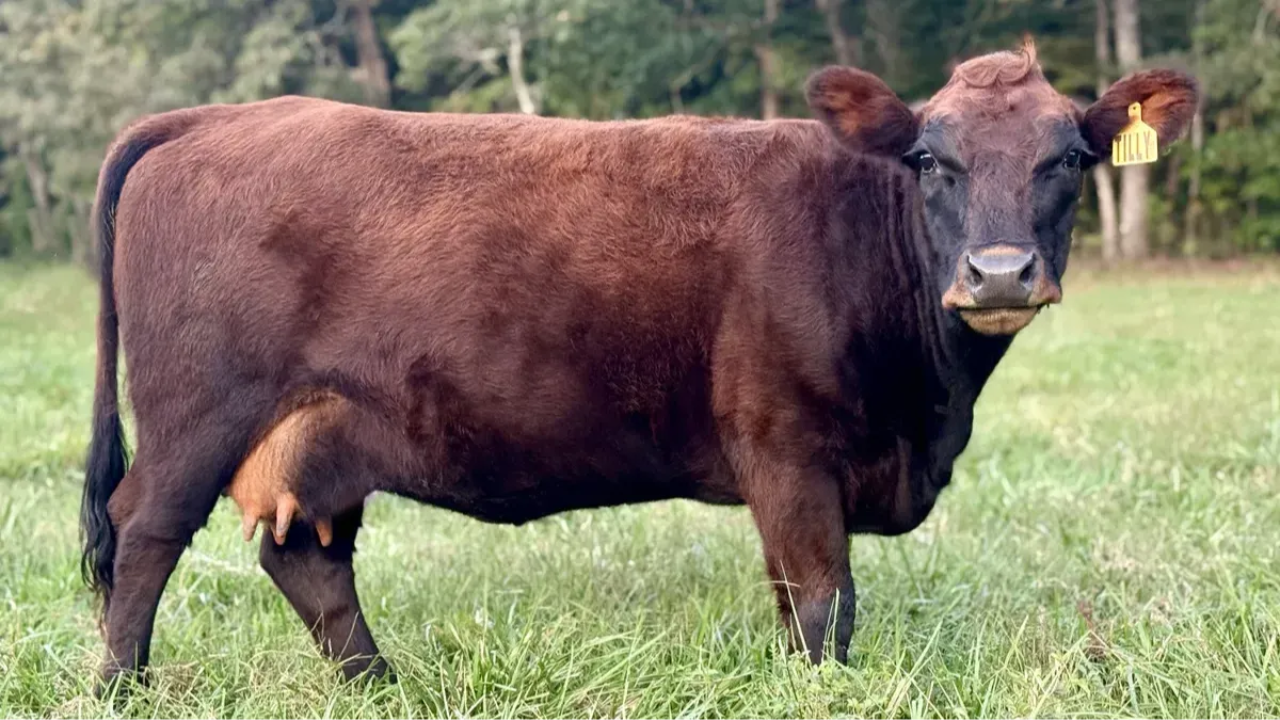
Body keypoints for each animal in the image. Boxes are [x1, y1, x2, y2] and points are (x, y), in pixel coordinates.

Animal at [79, 39, 1196, 692]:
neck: (925, 409)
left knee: (308, 559)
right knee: (144, 537)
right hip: (198, 418)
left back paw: (382, 686)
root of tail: (217, 116)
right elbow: (823, 604)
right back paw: (122, 688)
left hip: (321, 433)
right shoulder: (786, 450)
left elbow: (803, 602)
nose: (999, 271)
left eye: (1068, 157)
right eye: (930, 157)